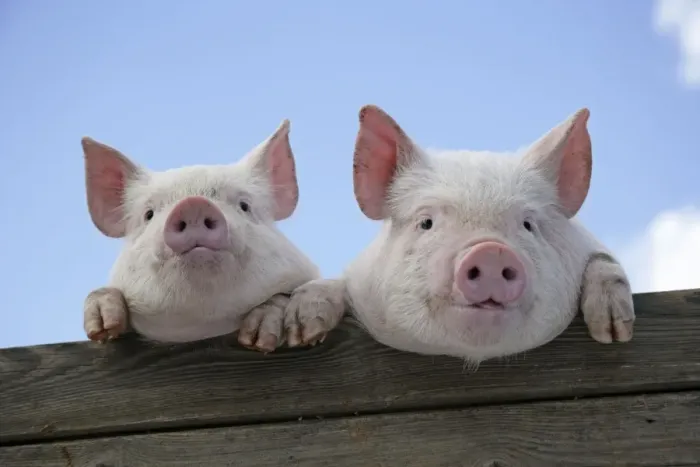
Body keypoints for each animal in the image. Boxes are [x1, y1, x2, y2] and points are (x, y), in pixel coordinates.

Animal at [82, 120, 328, 352]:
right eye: (148, 214)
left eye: (244, 205)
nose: (193, 205)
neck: (202, 330)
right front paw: (102, 326)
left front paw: (260, 339)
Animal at [284, 105, 635, 363]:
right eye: (426, 222)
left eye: (528, 225)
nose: (492, 251)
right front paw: (301, 331)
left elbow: (604, 261)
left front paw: (613, 332)